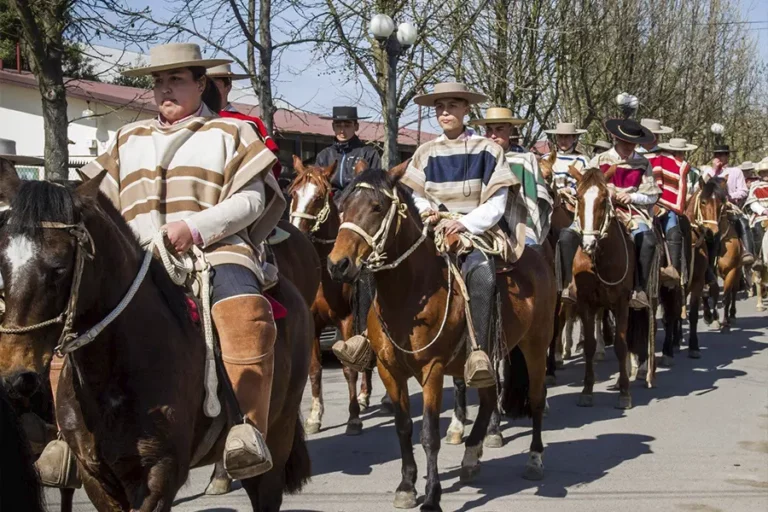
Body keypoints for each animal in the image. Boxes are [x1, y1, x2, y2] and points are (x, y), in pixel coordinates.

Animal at [0, 173, 316, 512]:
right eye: (3, 264)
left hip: (277, 435)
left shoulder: (159, 475)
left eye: (59, 267)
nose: (17, 375)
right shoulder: (95, 476)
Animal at [286, 156, 374, 436]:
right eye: (294, 193)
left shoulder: (347, 320)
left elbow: (348, 369)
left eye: (318, 197)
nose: (297, 232)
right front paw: (315, 416)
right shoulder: (313, 324)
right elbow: (315, 370)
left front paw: (354, 418)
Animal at [328, 167, 556, 508]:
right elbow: (403, 428)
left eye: (377, 207)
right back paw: (471, 457)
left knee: (537, 398)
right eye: (342, 207)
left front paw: (432, 496)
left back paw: (535, 459)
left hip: (536, 343)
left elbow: (429, 434)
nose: (338, 264)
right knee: (488, 398)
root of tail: (536, 255)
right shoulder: (389, 370)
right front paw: (407, 486)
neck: (409, 295)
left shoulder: (432, 370)